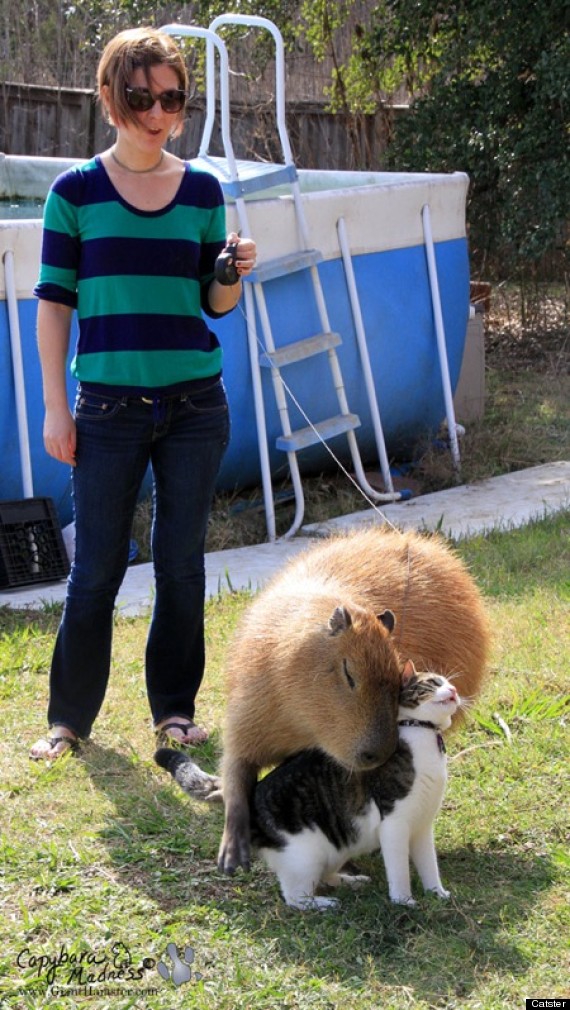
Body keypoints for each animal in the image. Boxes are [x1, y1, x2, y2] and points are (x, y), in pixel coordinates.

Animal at [154, 666, 458, 913]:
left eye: (448, 681)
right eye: (434, 682)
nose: (454, 690)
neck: (423, 735)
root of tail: (248, 795)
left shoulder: (422, 826)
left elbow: (428, 864)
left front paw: (437, 893)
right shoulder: (394, 824)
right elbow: (399, 871)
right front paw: (403, 901)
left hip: (337, 847)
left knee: (325, 875)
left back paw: (351, 881)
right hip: (305, 856)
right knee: (295, 897)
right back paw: (324, 903)